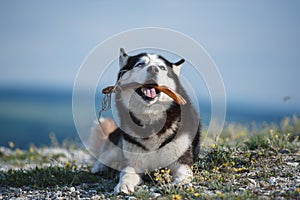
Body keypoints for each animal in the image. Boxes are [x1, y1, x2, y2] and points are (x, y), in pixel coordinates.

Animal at [90, 48, 200, 194]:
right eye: (140, 64)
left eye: (162, 67)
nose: (153, 69)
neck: (151, 120)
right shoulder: (133, 163)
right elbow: (126, 173)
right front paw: (123, 185)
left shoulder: (181, 160)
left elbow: (184, 172)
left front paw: (181, 183)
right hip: (116, 147)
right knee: (104, 156)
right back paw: (99, 168)